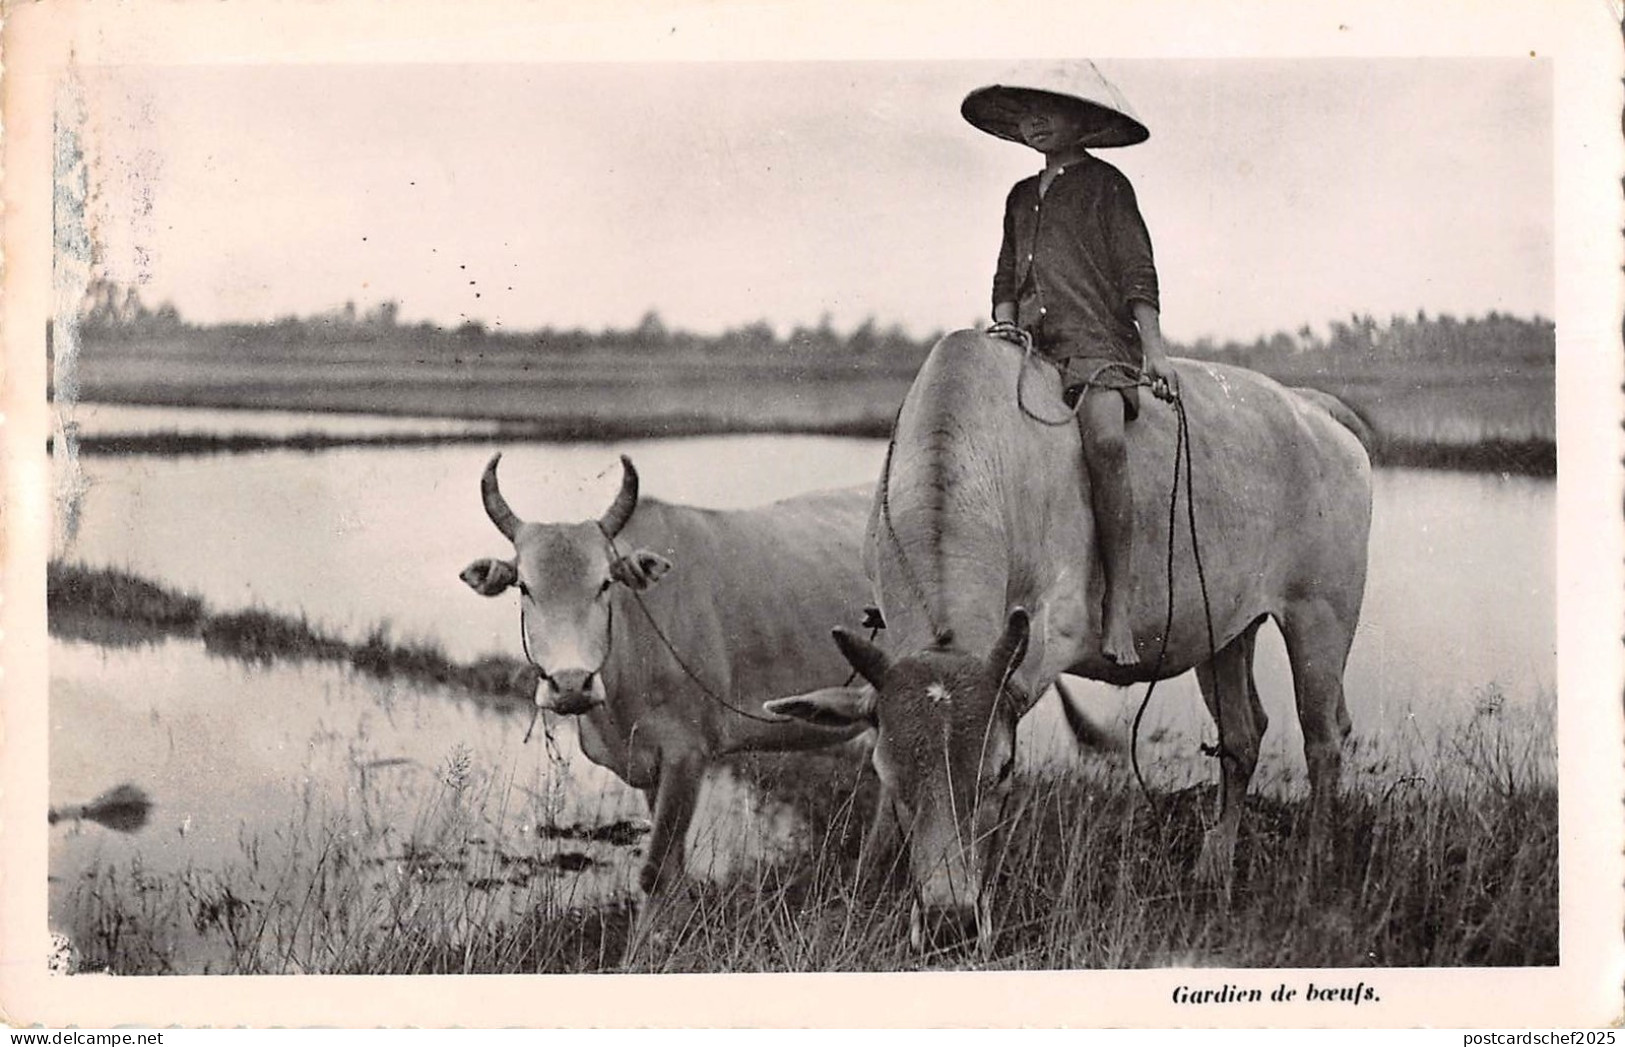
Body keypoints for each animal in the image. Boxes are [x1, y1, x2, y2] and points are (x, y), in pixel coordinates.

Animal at [460, 453, 878, 907]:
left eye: (605, 583)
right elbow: (674, 868)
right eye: (524, 586)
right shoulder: (649, 764)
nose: (571, 685)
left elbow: (656, 871)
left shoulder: (687, 755)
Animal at [766, 330, 1373, 954]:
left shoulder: (1055, 629)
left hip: (1322, 617)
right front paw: (868, 874)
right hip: (1226, 629)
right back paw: (1214, 868)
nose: (949, 924)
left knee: (1323, 739)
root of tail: (1314, 408)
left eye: (1002, 771)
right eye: (888, 772)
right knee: (1243, 737)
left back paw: (1311, 870)